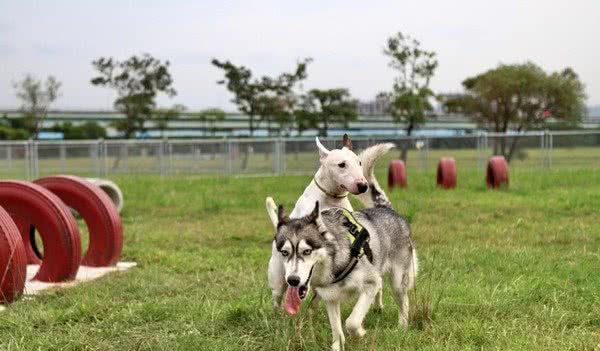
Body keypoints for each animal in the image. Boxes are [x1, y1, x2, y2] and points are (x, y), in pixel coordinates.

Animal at [274, 172, 414, 350]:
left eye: (307, 251)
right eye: (285, 252)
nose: (292, 280)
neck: (334, 261)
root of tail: (387, 210)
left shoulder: (371, 283)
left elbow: (351, 322)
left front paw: (360, 333)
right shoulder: (330, 297)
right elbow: (336, 329)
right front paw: (337, 345)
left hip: (397, 282)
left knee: (404, 302)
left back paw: (402, 327)